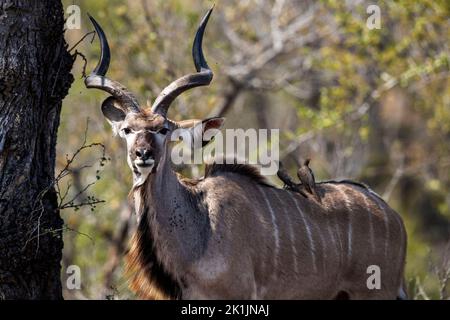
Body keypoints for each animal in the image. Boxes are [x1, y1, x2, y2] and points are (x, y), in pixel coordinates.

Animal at [84, 8, 408, 300]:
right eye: (127, 129)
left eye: (163, 129)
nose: (143, 154)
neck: (199, 223)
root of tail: (393, 216)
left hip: (373, 294)